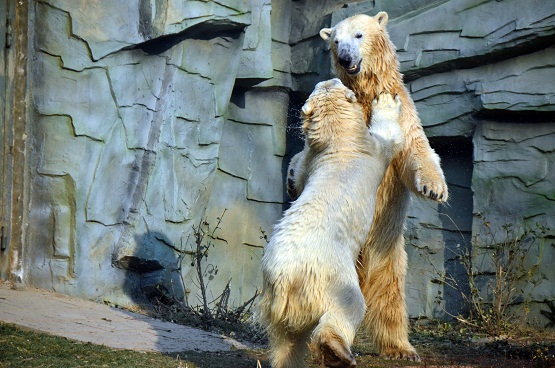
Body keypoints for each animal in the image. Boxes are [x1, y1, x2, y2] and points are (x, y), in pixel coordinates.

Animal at [260, 78, 404, 368]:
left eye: (323, 85)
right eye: (335, 84)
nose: (331, 78)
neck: (339, 140)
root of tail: (285, 275)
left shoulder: (314, 160)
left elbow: (300, 174)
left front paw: (290, 180)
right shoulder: (371, 150)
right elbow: (389, 137)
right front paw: (386, 100)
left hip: (279, 299)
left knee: (286, 340)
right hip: (331, 275)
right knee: (349, 306)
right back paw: (337, 351)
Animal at [288, 12, 450, 362]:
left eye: (359, 35)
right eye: (335, 40)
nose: (345, 58)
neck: (365, 94)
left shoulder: (405, 112)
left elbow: (417, 150)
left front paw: (435, 189)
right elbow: (306, 158)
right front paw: (292, 178)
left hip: (386, 246)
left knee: (389, 290)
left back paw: (400, 348)